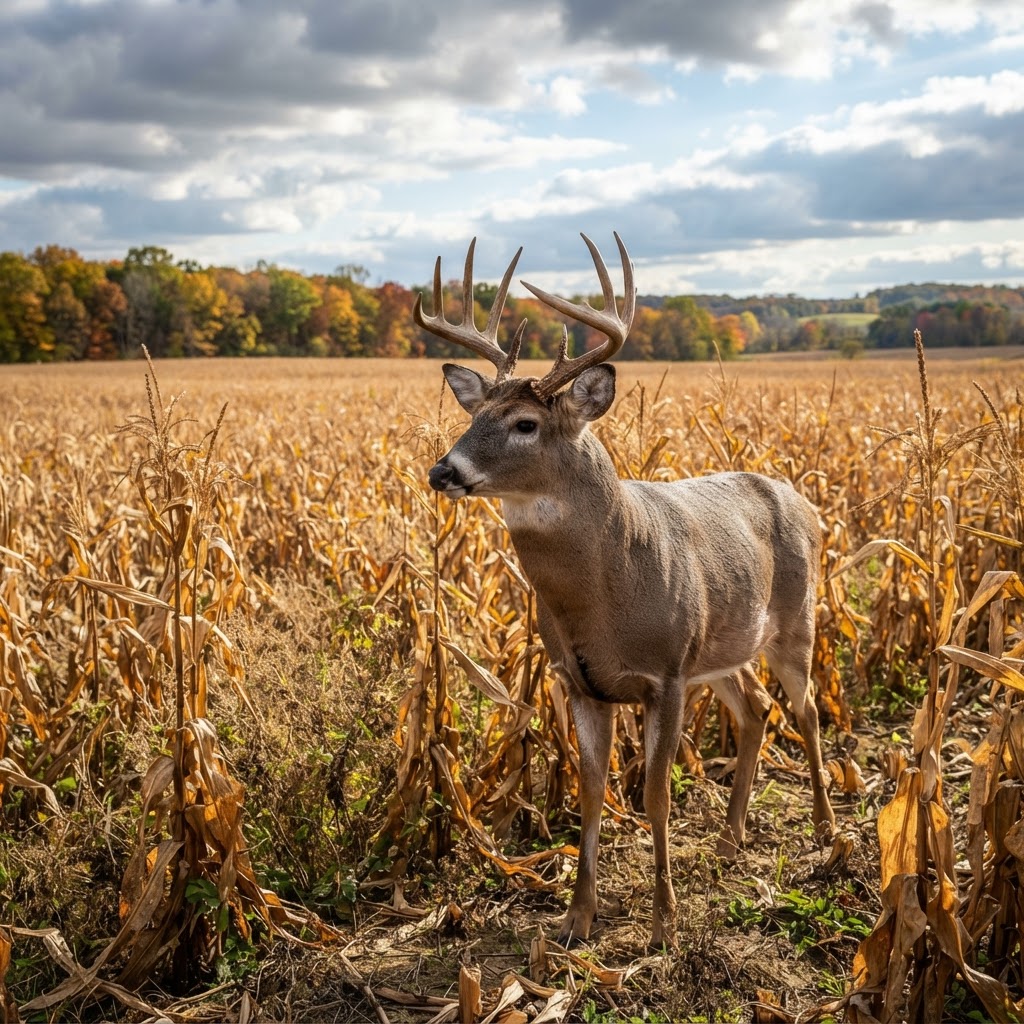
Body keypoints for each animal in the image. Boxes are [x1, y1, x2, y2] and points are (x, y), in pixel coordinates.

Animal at [414, 233, 836, 949]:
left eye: (525, 423)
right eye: (476, 414)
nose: (444, 470)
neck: (604, 596)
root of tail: (802, 500)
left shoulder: (664, 676)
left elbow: (655, 794)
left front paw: (665, 922)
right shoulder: (581, 683)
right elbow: (590, 791)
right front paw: (575, 917)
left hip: (794, 623)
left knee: (805, 713)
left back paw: (827, 830)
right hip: (720, 648)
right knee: (758, 710)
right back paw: (730, 841)